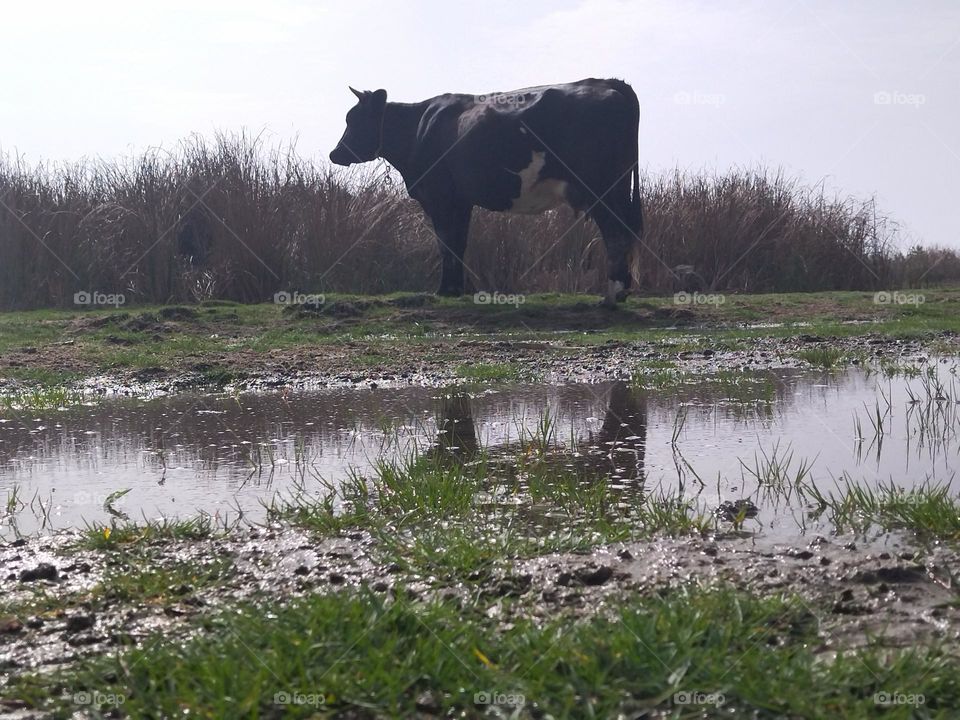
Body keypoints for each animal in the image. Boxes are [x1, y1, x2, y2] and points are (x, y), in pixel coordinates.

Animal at [330, 77, 644, 306]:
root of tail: (608, 82)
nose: (335, 153)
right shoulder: (460, 201)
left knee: (616, 233)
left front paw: (445, 290)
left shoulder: (440, 197)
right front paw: (456, 289)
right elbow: (458, 243)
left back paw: (613, 294)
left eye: (354, 120)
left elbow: (446, 242)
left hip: (602, 190)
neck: (418, 128)